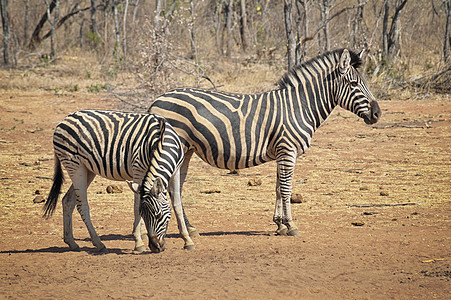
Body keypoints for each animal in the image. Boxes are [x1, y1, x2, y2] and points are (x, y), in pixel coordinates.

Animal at [43, 110, 195, 253]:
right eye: (144, 215)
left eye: (158, 216)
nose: (155, 247)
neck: (161, 140)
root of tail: (64, 120)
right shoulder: (139, 170)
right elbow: (136, 207)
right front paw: (138, 243)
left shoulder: (175, 171)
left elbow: (177, 205)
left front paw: (187, 240)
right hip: (74, 165)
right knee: (82, 206)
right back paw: (98, 243)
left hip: (88, 169)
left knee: (67, 201)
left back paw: (71, 242)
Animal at [151, 48, 382, 241]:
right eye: (354, 84)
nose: (377, 114)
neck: (300, 106)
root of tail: (156, 100)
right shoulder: (288, 150)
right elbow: (287, 189)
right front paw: (291, 225)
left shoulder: (282, 152)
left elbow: (279, 187)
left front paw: (280, 225)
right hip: (174, 148)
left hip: (186, 150)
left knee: (175, 188)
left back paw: (190, 229)